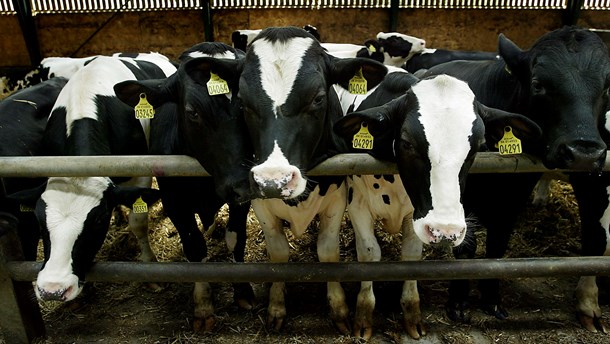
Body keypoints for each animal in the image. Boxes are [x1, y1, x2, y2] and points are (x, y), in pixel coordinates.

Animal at [236, 26, 384, 334]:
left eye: (318, 98)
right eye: (242, 102)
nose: (274, 180)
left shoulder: (337, 197)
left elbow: (327, 251)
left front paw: (339, 309)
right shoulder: (260, 201)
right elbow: (278, 253)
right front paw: (276, 307)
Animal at [330, 67, 540, 338]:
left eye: (478, 147)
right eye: (407, 143)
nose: (446, 230)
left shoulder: (415, 215)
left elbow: (411, 256)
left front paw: (413, 317)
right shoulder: (357, 205)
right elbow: (369, 254)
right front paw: (364, 319)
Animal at [418, 25, 608, 332]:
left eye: (607, 87)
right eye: (538, 84)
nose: (584, 154)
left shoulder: (514, 199)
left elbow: (497, 247)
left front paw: (492, 299)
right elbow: (467, 248)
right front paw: (458, 303)